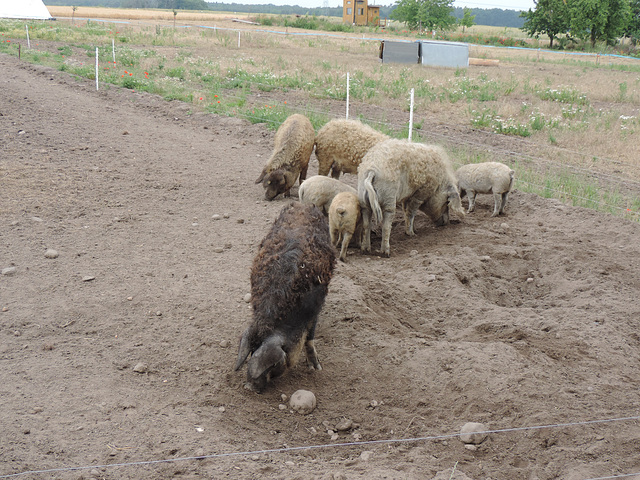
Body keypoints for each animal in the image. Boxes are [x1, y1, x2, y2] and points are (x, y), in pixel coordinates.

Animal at [234, 201, 336, 392]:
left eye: (274, 364)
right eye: (251, 351)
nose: (249, 387)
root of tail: (302, 204)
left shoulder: (315, 307)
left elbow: (309, 338)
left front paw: (316, 368)